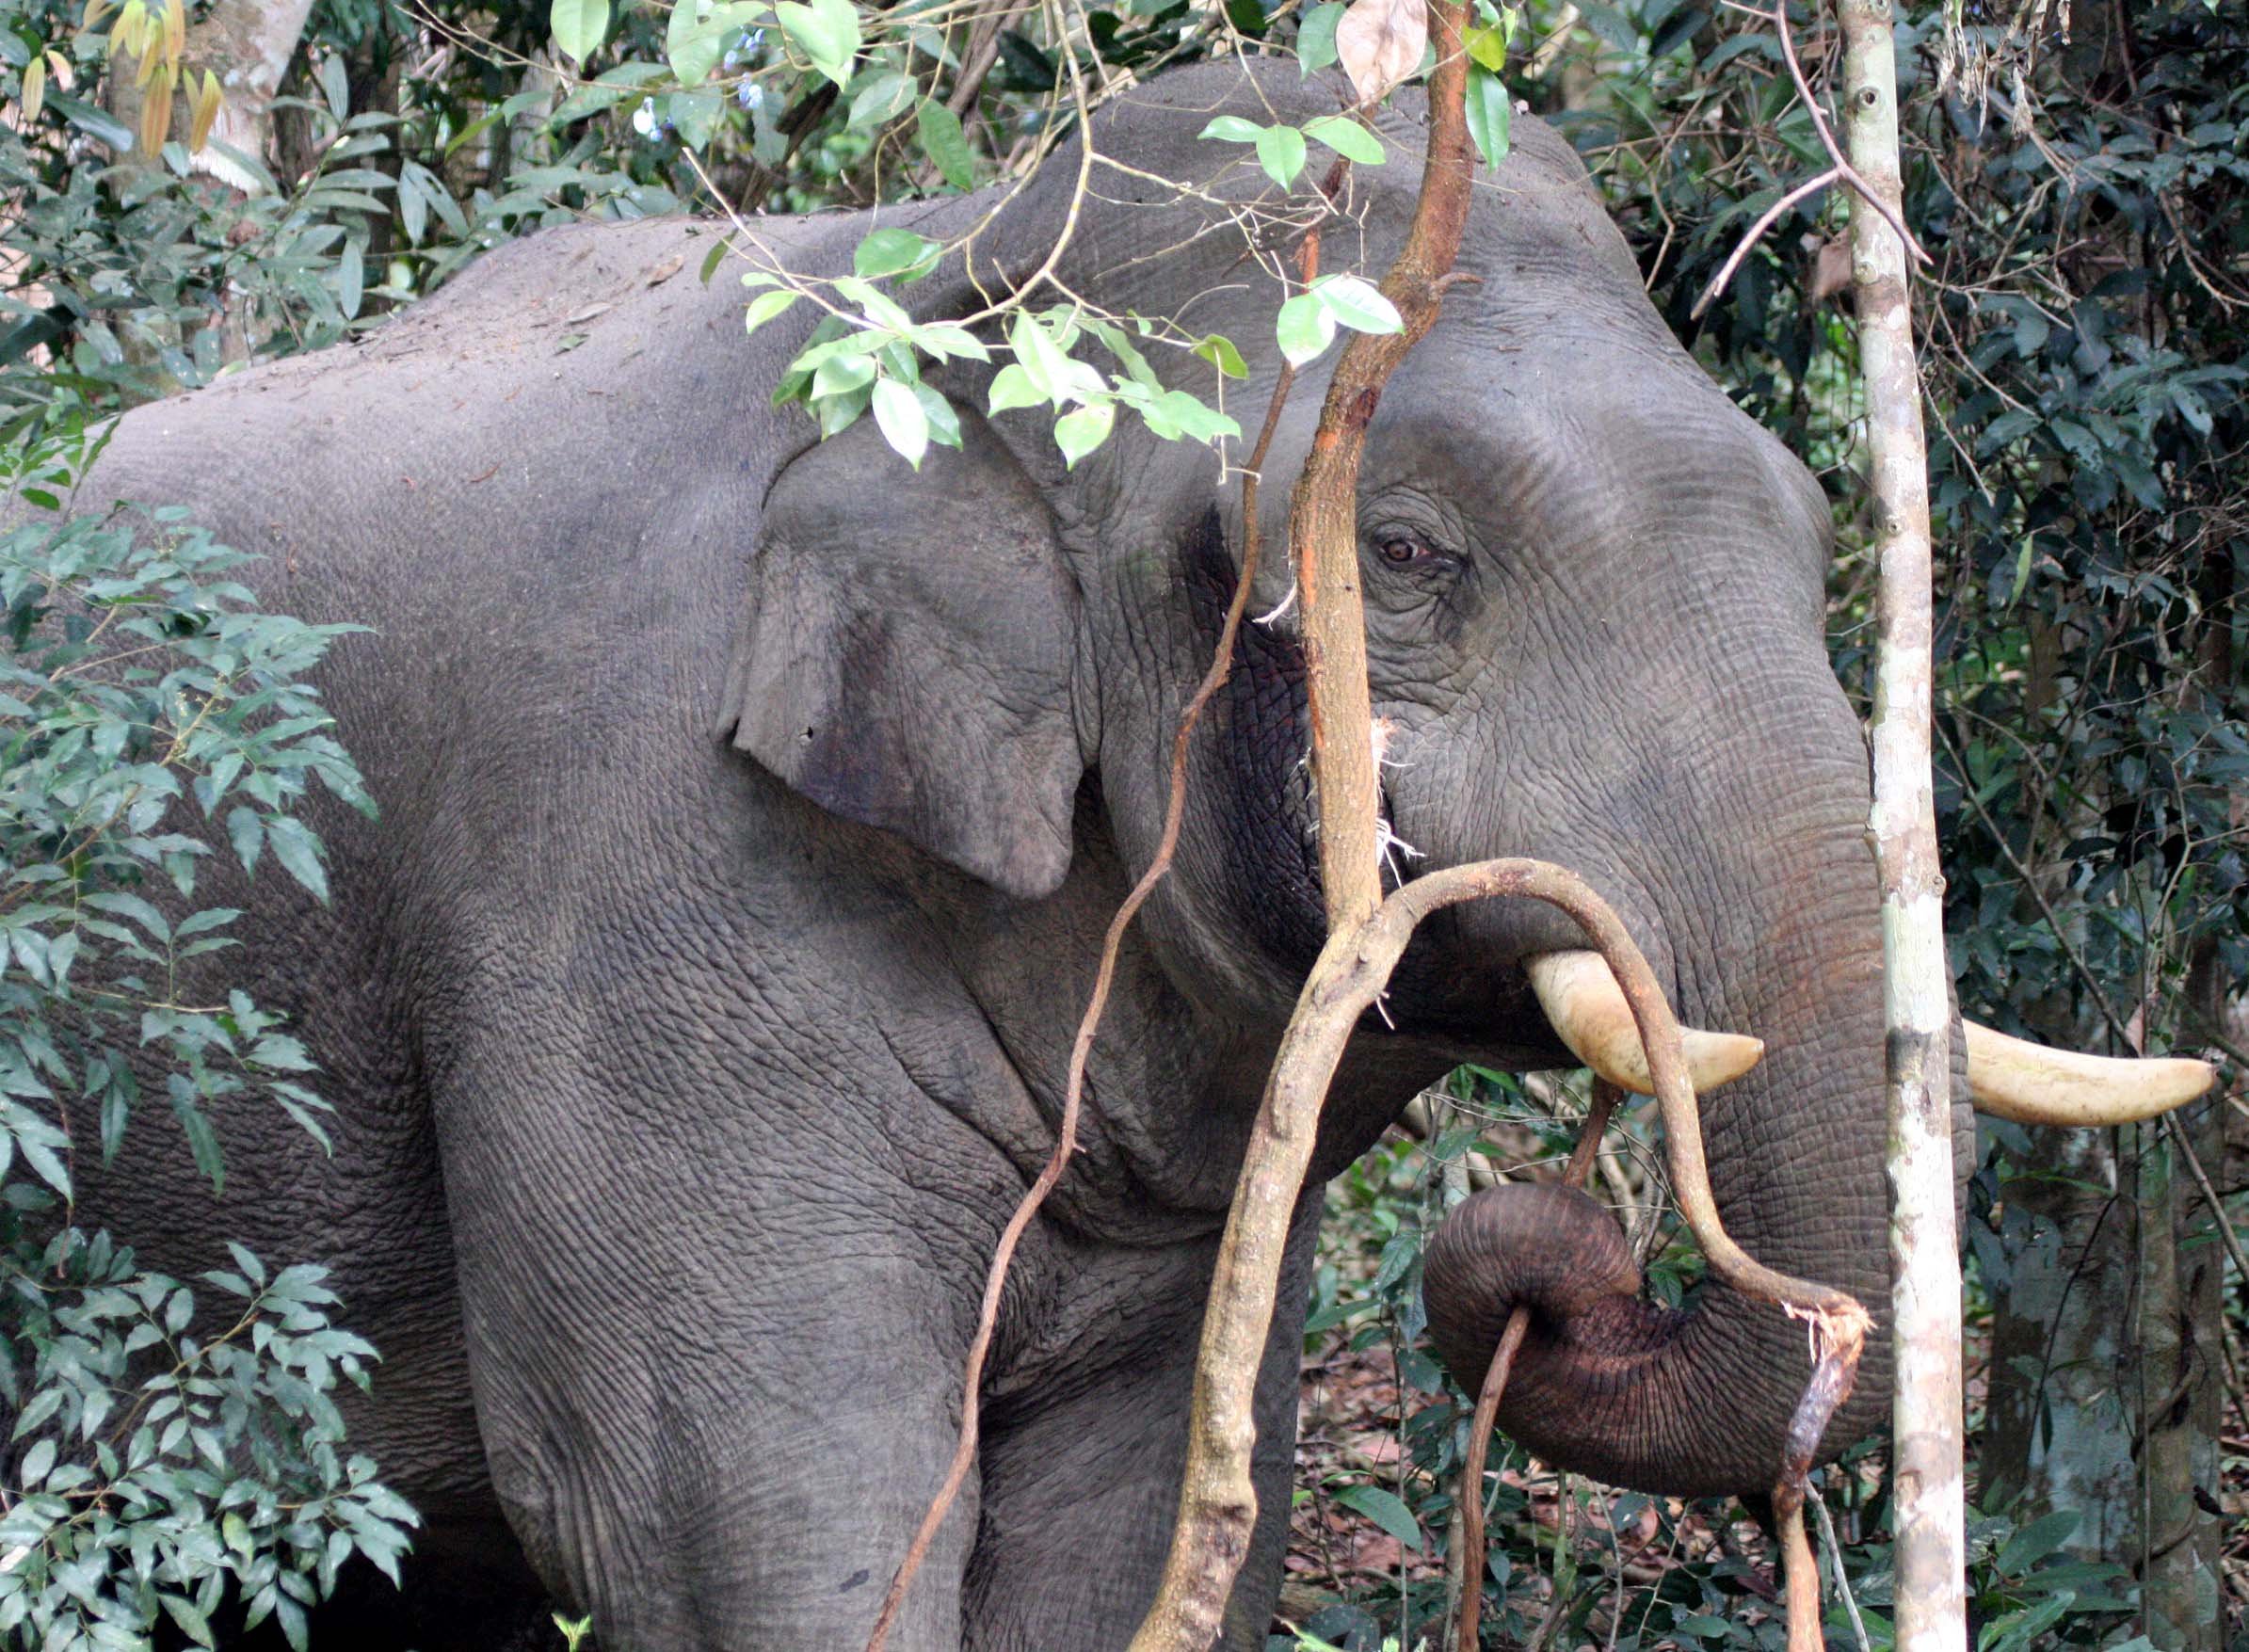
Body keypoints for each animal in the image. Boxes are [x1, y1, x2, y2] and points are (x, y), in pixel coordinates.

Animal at [58, 52, 2190, 1652]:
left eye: (1813, 529)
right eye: (1402, 551)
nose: (1539, 1276)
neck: (952, 284)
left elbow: (1124, 1532)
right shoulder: (623, 920)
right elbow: (731, 1533)